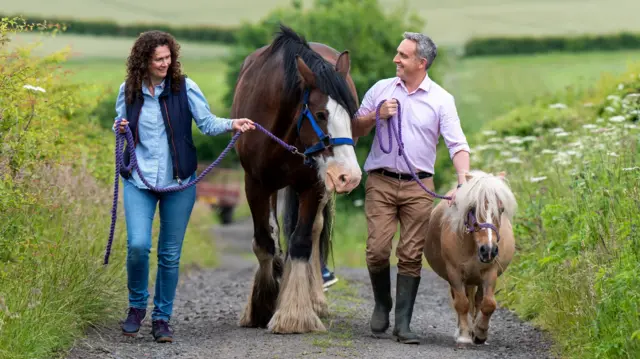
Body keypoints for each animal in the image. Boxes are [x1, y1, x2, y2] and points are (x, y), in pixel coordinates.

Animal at [231, 24, 362, 334]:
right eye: (321, 114)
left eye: (352, 113)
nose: (349, 176)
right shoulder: (255, 184)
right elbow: (264, 242)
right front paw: (262, 305)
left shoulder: (313, 185)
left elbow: (302, 241)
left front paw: (295, 313)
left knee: (312, 231)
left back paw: (313, 298)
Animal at [422, 171, 516, 346]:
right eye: (472, 208)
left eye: (501, 209)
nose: (489, 250)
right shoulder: (454, 273)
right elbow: (462, 303)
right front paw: (464, 335)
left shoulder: (490, 272)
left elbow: (488, 304)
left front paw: (480, 333)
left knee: (478, 300)